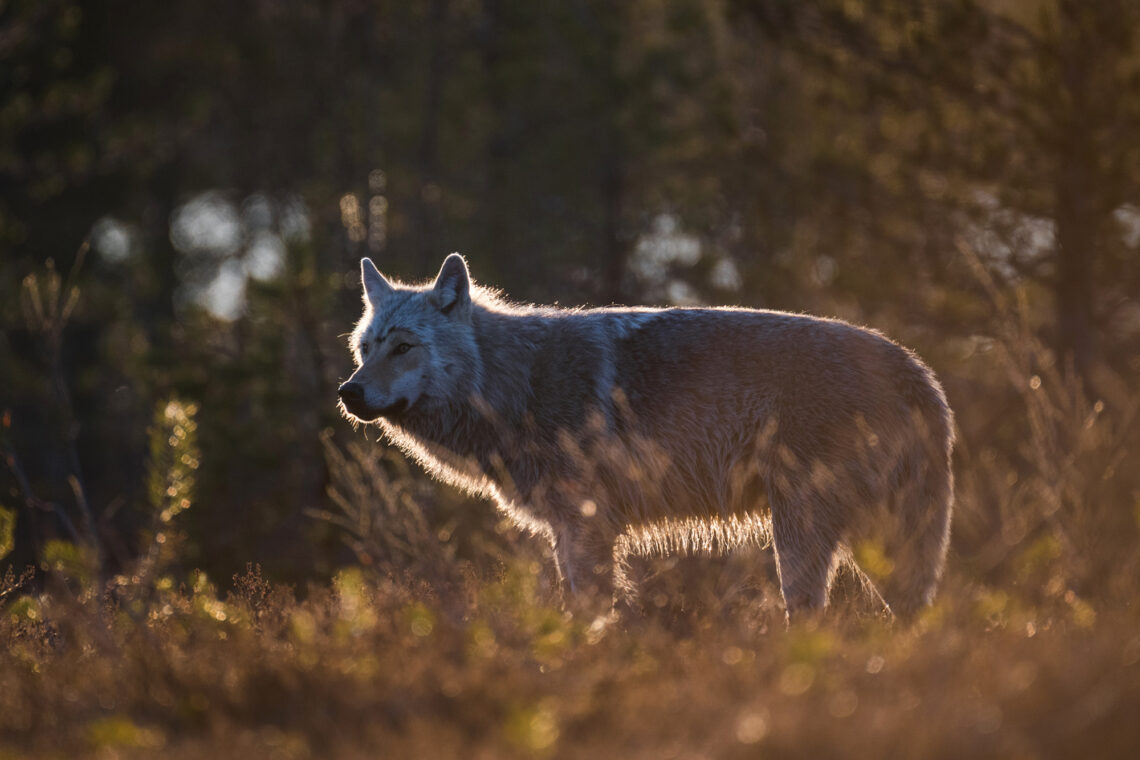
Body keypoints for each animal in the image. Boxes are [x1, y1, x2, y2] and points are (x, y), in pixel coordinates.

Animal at [335, 252, 953, 619]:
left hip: (804, 533)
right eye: (365, 349)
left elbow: (587, 616)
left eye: (404, 347)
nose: (348, 392)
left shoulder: (586, 526)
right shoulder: (569, 530)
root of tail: (916, 370)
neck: (515, 383)